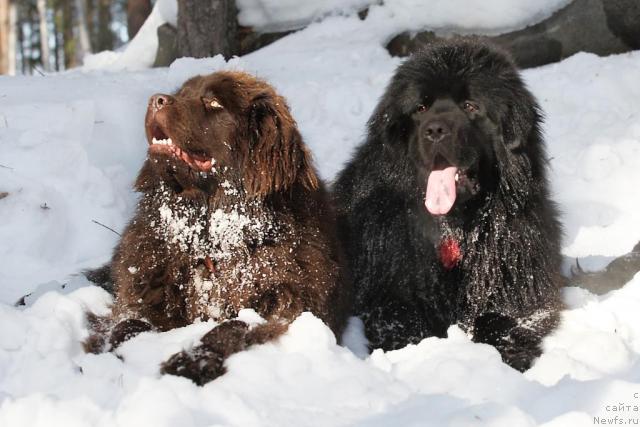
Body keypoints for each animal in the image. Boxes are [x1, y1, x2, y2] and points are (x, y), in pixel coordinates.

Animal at [86, 72, 350, 386]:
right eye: (182, 93)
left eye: (213, 102)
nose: (156, 100)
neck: (210, 239)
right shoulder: (139, 296)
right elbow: (126, 323)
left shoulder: (284, 306)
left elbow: (233, 326)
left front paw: (190, 362)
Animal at [336, 41, 564, 372]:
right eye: (420, 109)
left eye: (470, 106)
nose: (435, 130)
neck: (454, 227)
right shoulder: (388, 290)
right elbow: (403, 319)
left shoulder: (518, 283)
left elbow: (502, 318)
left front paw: (507, 355)